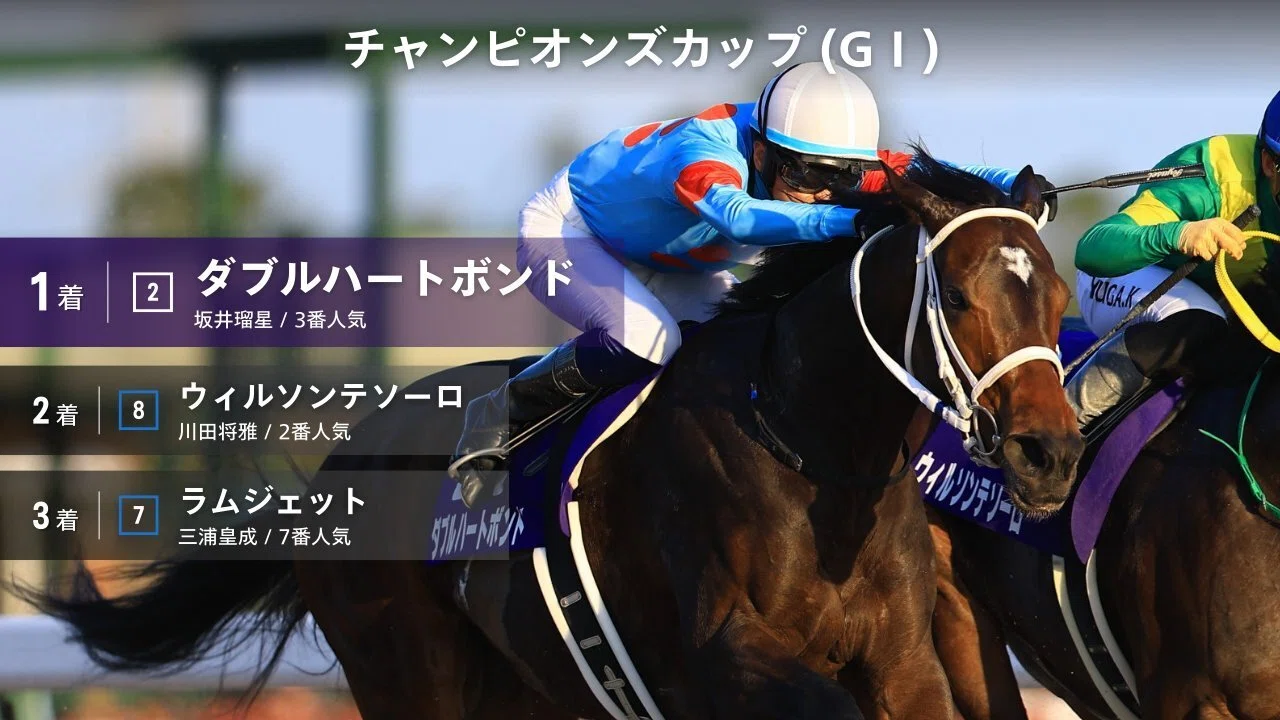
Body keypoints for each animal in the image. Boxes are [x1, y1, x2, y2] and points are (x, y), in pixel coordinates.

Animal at [12, 149, 1083, 720]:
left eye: (1059, 296)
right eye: (958, 295)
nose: (1051, 454)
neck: (809, 446)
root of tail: (337, 470)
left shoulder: (903, 659)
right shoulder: (724, 650)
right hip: (408, 668)